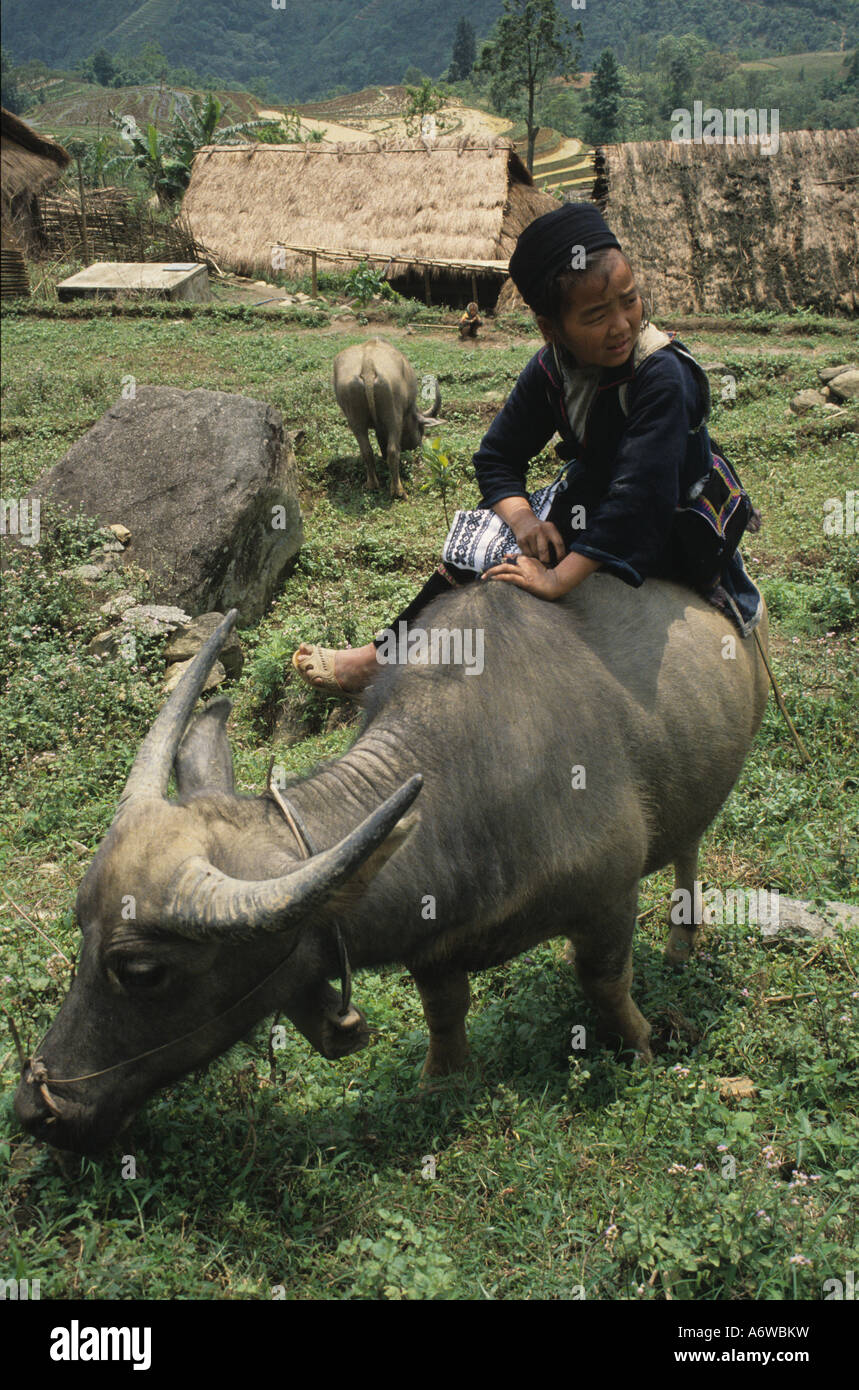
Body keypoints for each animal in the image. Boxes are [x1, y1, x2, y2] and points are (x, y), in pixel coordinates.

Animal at [11, 575, 761, 1150]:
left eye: (142, 971)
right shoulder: (433, 943)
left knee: (687, 853)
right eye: (79, 924)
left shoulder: (606, 898)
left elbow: (603, 982)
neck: (471, 782)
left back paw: (683, 941)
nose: (35, 1108)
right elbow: (445, 1011)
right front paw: (439, 1084)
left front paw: (641, 1047)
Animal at [332, 337, 442, 500]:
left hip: (355, 419)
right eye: (421, 429)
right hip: (394, 416)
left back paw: (372, 484)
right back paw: (398, 491)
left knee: (366, 450)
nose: (418, 449)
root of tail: (368, 365)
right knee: (392, 450)